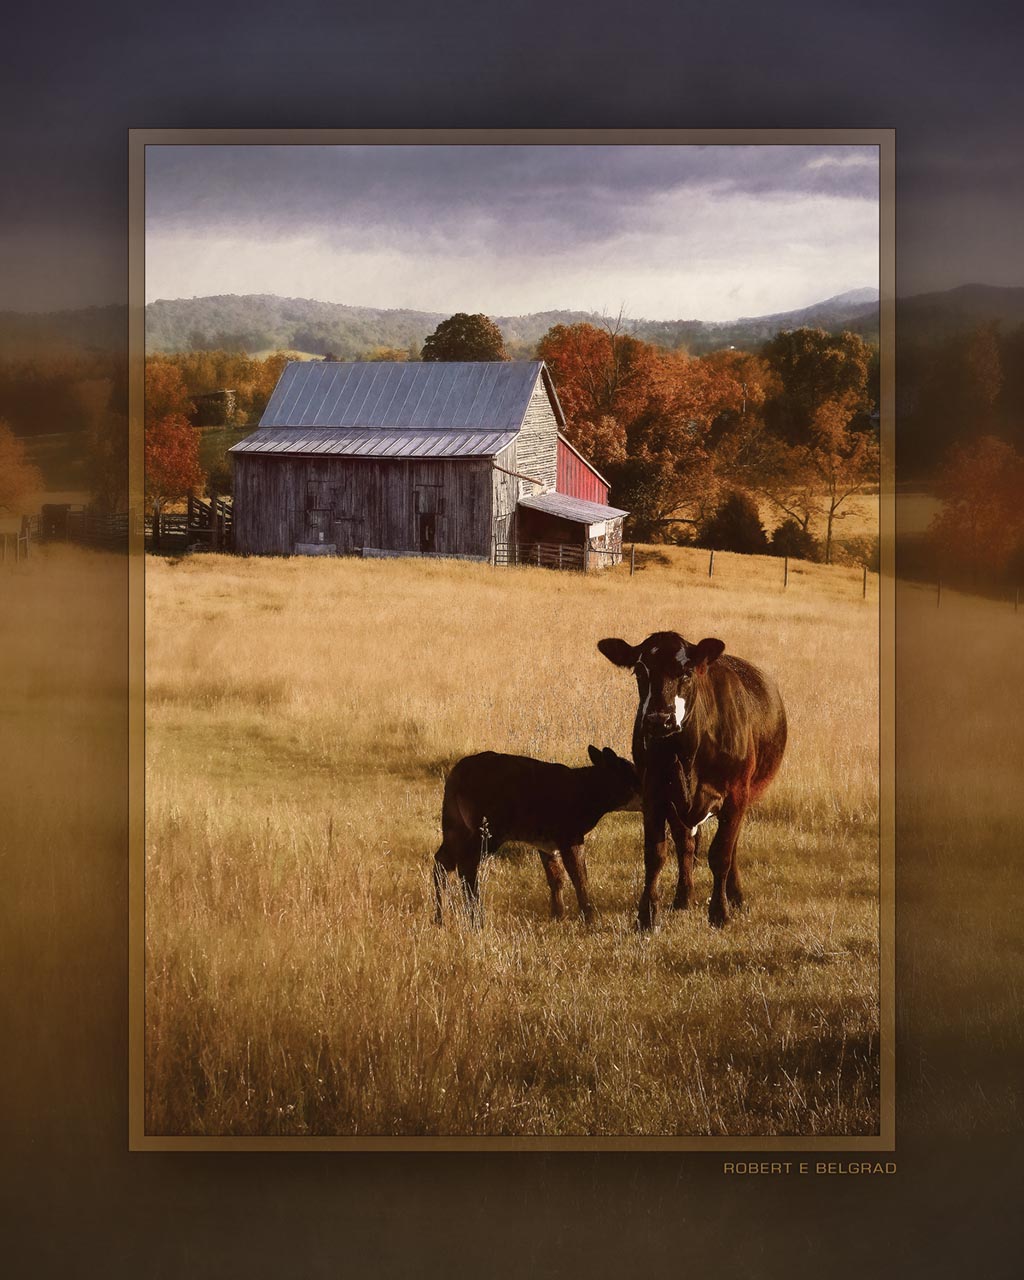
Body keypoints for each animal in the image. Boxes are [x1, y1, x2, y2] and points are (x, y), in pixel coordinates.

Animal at [432, 747, 640, 926]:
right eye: (633, 773)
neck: (587, 793)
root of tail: (456, 776)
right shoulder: (570, 834)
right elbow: (580, 877)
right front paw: (590, 918)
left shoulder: (546, 842)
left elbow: (557, 878)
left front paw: (557, 915)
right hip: (487, 831)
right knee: (466, 866)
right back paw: (476, 920)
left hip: (454, 825)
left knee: (442, 861)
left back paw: (442, 918)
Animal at [596, 632, 788, 926]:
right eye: (640, 671)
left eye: (686, 672)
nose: (658, 720)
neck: (686, 753)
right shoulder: (654, 794)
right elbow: (656, 854)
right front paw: (647, 915)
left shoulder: (736, 796)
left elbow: (721, 854)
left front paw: (720, 912)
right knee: (685, 846)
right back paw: (682, 898)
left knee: (731, 848)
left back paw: (736, 896)